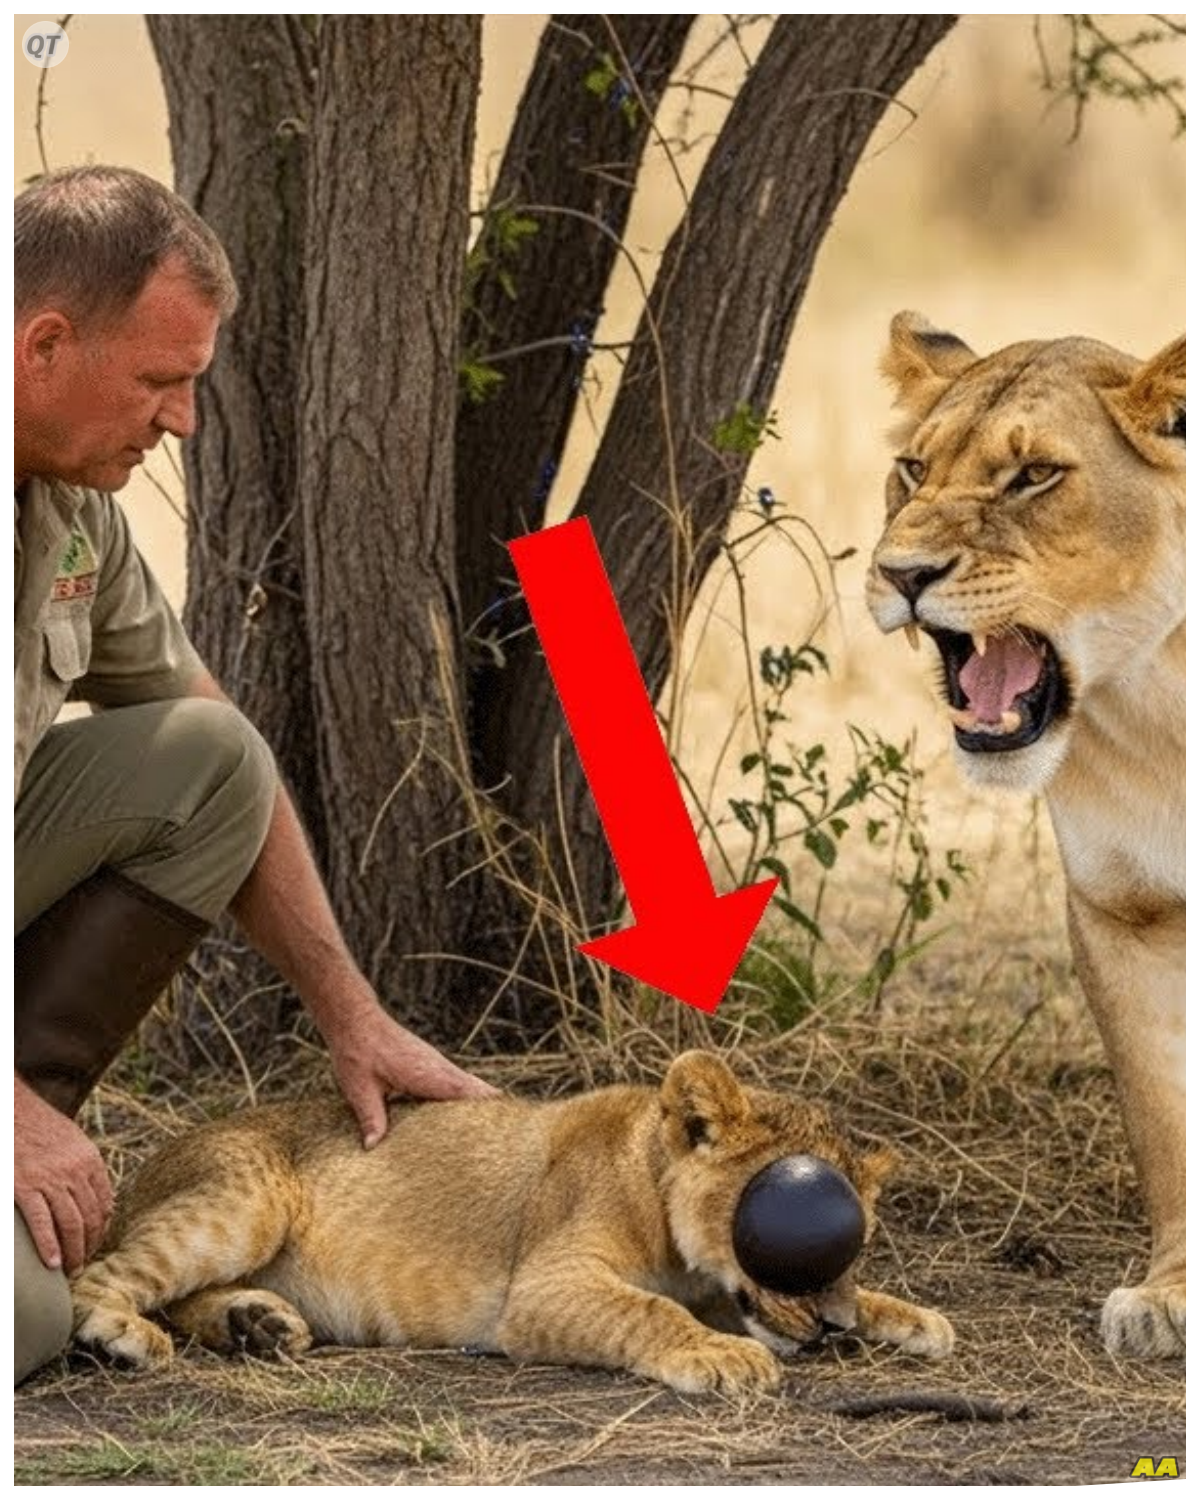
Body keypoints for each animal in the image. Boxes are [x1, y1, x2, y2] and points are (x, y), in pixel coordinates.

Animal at [71, 1052, 953, 1393]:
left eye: (852, 1249)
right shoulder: (544, 1289)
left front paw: (911, 1317)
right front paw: (721, 1356)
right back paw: (121, 1333)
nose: (833, 1328)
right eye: (797, 1245)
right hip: (249, 1197)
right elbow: (649, 1312)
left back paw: (259, 1324)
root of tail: (145, 1166)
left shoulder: (708, 1287)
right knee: (102, 1276)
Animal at [866, 313, 1185, 1357]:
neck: (1163, 698)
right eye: (913, 469)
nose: (901, 575)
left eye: (1034, 476)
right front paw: (1171, 1295)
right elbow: (1165, 1118)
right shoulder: (1123, 913)